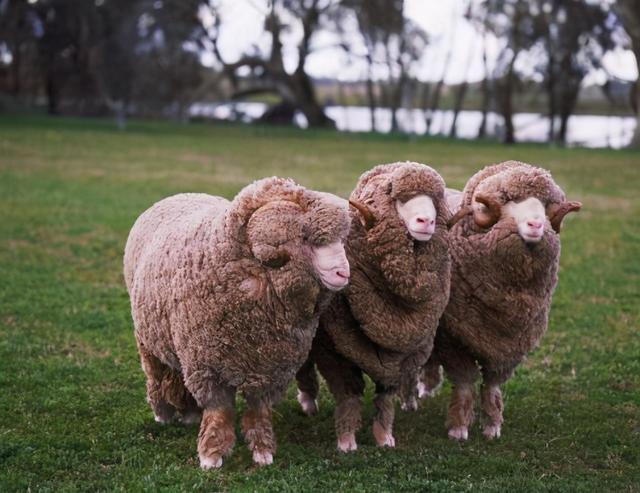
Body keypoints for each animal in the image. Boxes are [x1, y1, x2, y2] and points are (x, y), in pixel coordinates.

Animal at [122, 176, 352, 466]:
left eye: (341, 240)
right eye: (305, 238)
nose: (343, 273)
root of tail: (180, 194)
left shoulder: (269, 368)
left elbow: (257, 411)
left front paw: (263, 451)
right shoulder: (207, 367)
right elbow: (219, 412)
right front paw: (211, 455)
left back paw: (188, 413)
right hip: (147, 339)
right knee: (155, 375)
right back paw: (162, 414)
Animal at [296, 161, 456, 450]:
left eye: (435, 201)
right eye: (399, 197)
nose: (426, 221)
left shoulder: (401, 358)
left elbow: (385, 397)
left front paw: (384, 435)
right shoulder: (335, 353)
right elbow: (349, 395)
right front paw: (347, 439)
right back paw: (308, 403)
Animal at [418, 160, 584, 440]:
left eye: (544, 205)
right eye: (508, 200)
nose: (536, 225)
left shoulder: (508, 348)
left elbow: (492, 385)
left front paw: (492, 424)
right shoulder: (454, 340)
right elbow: (465, 383)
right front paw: (459, 427)